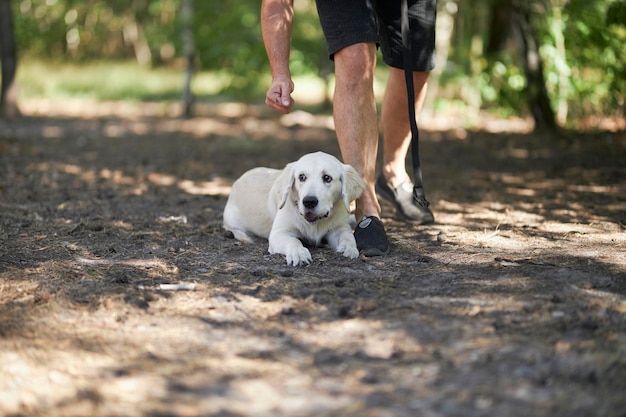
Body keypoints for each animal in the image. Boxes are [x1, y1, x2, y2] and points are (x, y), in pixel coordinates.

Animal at [222, 151, 364, 264]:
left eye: (327, 178)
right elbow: (293, 241)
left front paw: (349, 248)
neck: (315, 223)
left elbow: (348, 236)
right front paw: (299, 254)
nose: (309, 202)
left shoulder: (339, 228)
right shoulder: (279, 233)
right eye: (302, 177)